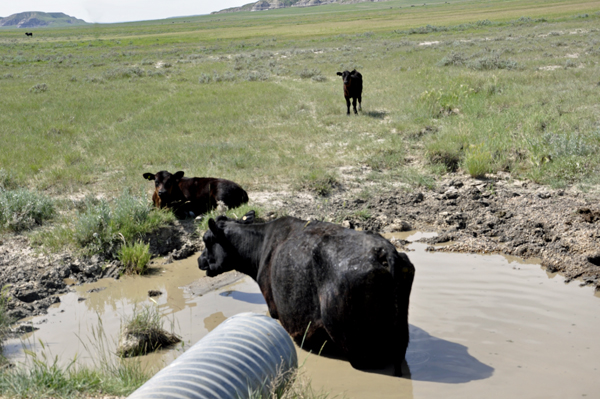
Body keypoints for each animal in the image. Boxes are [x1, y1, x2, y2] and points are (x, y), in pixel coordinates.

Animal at [199, 211, 414, 376]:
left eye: (207, 239)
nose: (200, 260)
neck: (260, 247)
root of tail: (382, 251)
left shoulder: (274, 309)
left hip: (358, 350)